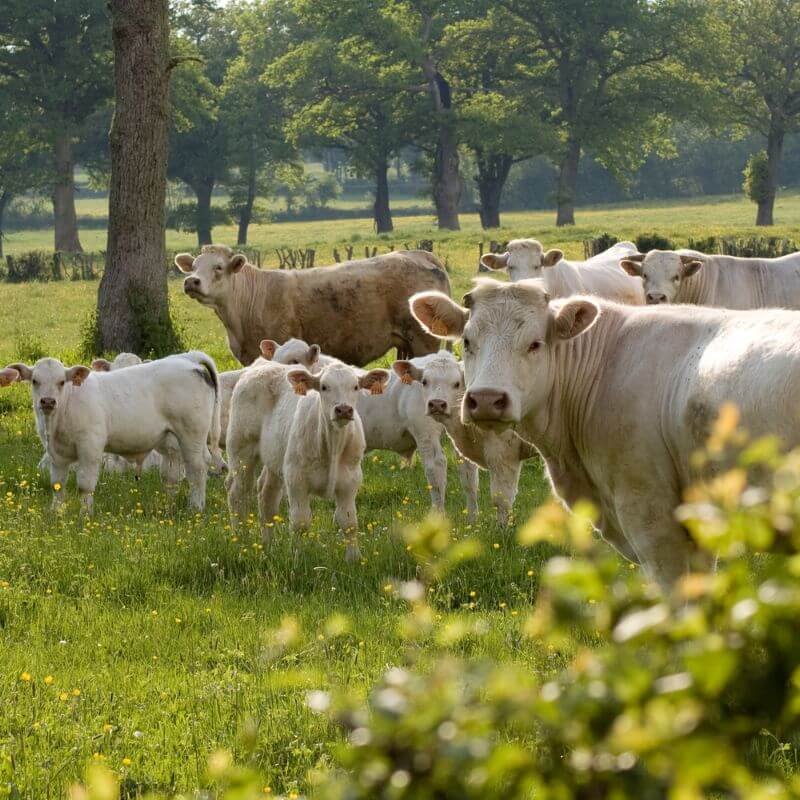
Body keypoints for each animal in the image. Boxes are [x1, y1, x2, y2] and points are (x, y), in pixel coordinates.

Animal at [176, 245, 450, 368]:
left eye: (218, 267)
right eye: (193, 267)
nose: (191, 281)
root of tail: (418, 253)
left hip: (425, 341)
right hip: (406, 345)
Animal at [390, 352, 536, 524]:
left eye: (457, 383)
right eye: (424, 382)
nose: (437, 404)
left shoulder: (503, 454)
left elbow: (501, 498)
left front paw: (502, 528)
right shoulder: (464, 454)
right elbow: (469, 483)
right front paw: (472, 521)